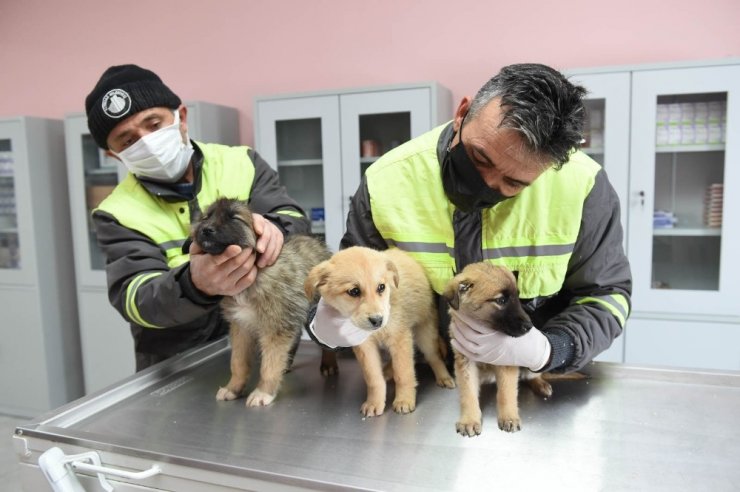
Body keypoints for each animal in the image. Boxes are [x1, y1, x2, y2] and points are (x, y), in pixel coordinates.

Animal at [194, 197, 338, 408]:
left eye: (234, 218)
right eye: (206, 217)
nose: (206, 229)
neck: (253, 277)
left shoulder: (275, 328)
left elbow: (269, 366)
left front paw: (264, 392)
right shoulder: (241, 327)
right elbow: (237, 363)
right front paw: (233, 388)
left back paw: (328, 364)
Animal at [304, 248, 454, 418]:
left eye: (381, 287)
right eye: (354, 291)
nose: (378, 320)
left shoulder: (400, 338)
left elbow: (403, 373)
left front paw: (404, 400)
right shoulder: (365, 347)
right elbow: (373, 378)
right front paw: (375, 403)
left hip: (425, 332)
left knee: (434, 356)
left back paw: (443, 377)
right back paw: (387, 371)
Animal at [442, 264, 552, 436]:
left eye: (518, 297)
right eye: (501, 300)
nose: (529, 326)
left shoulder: (506, 361)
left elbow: (507, 393)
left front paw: (509, 417)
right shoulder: (465, 362)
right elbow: (468, 393)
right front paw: (469, 420)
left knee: (532, 374)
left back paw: (541, 385)